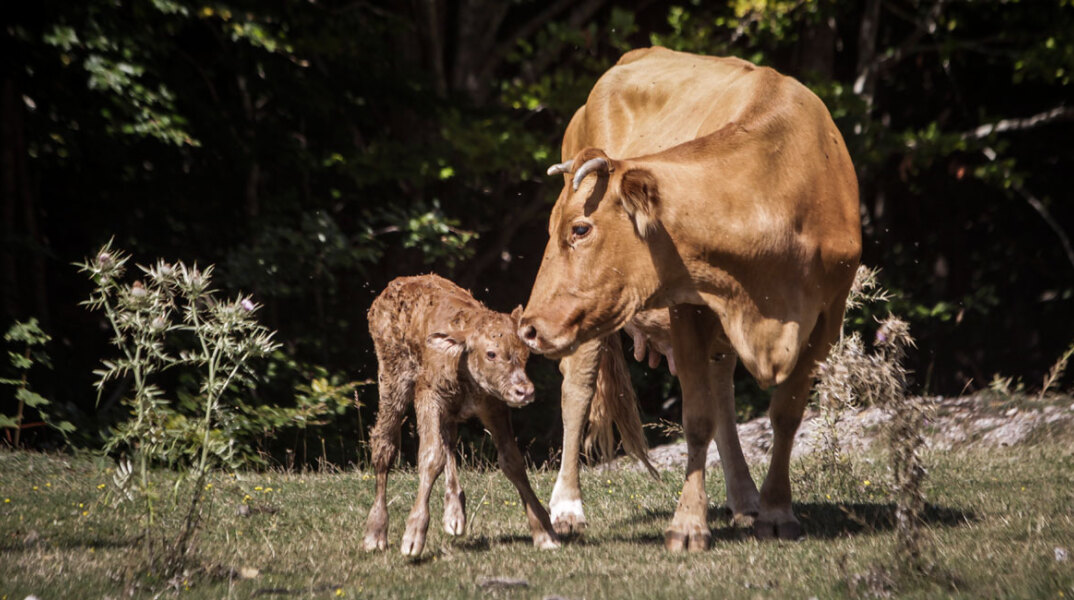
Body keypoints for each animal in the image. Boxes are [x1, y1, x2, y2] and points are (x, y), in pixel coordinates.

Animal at [363, 274, 560, 556]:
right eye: (491, 353)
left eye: (525, 354)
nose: (524, 391)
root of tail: (394, 285)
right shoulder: (429, 397)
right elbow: (430, 457)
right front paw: (413, 536)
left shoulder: (493, 406)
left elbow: (511, 461)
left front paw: (544, 532)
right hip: (392, 380)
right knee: (384, 446)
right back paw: (375, 532)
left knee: (449, 442)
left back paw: (454, 513)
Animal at [520, 47, 862, 551]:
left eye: (580, 229)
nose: (527, 327)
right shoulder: (687, 305)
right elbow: (697, 418)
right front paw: (687, 526)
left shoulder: (828, 313)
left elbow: (785, 413)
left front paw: (777, 511)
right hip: (587, 324)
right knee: (577, 389)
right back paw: (566, 508)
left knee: (723, 391)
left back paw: (746, 499)